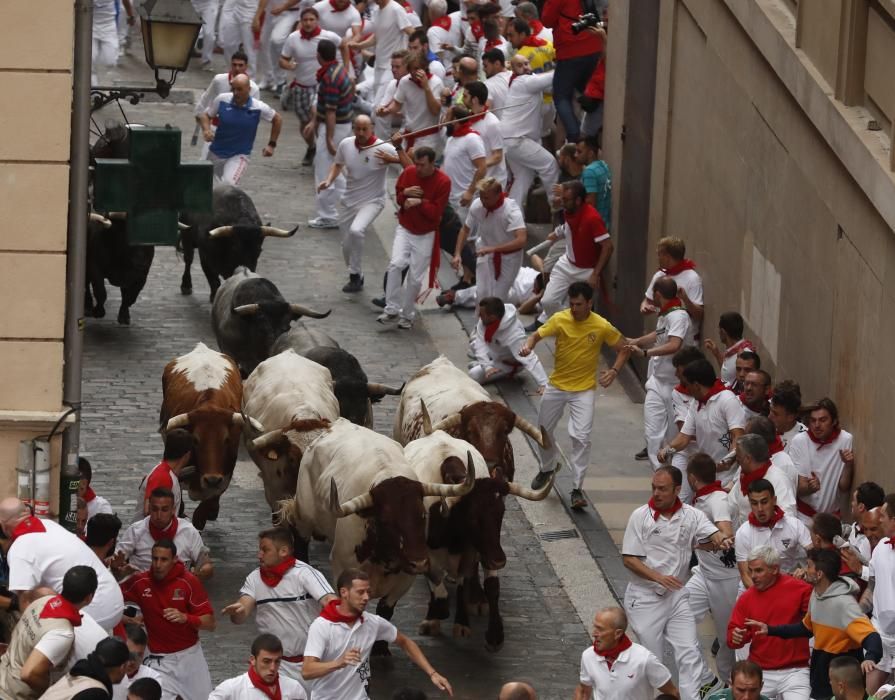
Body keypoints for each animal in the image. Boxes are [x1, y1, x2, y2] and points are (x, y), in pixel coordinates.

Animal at [160, 342, 260, 528]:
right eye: (195, 440)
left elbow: (204, 509)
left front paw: (208, 512)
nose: (212, 479)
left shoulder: (225, 475)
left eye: (227, 439)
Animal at [280, 416, 476, 652]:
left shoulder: (404, 579)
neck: (382, 557)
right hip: (305, 513)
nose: (419, 563)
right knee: (300, 538)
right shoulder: (342, 568)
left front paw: (381, 649)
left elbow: (385, 611)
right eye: (386, 521)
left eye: (422, 515)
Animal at [404, 412, 552, 652]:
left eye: (501, 513)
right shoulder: (426, 555)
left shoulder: (476, 550)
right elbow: (437, 586)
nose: (499, 560)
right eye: (472, 517)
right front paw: (435, 616)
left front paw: (487, 632)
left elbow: (481, 584)